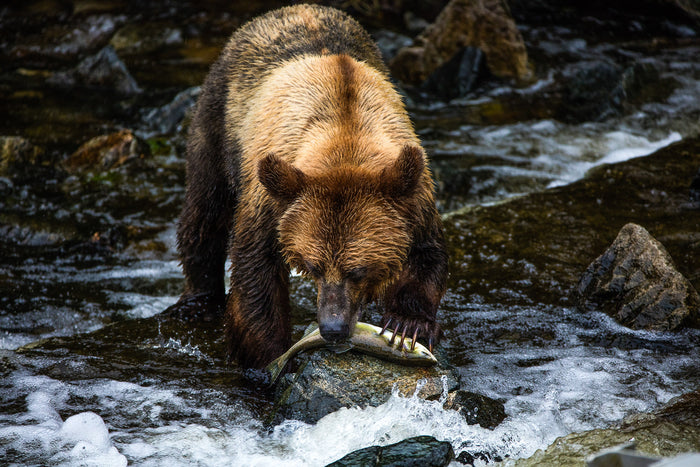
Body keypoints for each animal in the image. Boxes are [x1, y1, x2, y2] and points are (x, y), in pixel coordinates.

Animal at [165, 4, 448, 368]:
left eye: (357, 270)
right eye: (314, 265)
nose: (332, 327)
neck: (345, 135)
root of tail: (291, 9)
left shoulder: (413, 193)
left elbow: (427, 252)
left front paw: (407, 323)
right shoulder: (272, 200)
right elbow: (256, 269)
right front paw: (268, 357)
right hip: (219, 115)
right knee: (206, 209)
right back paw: (197, 299)